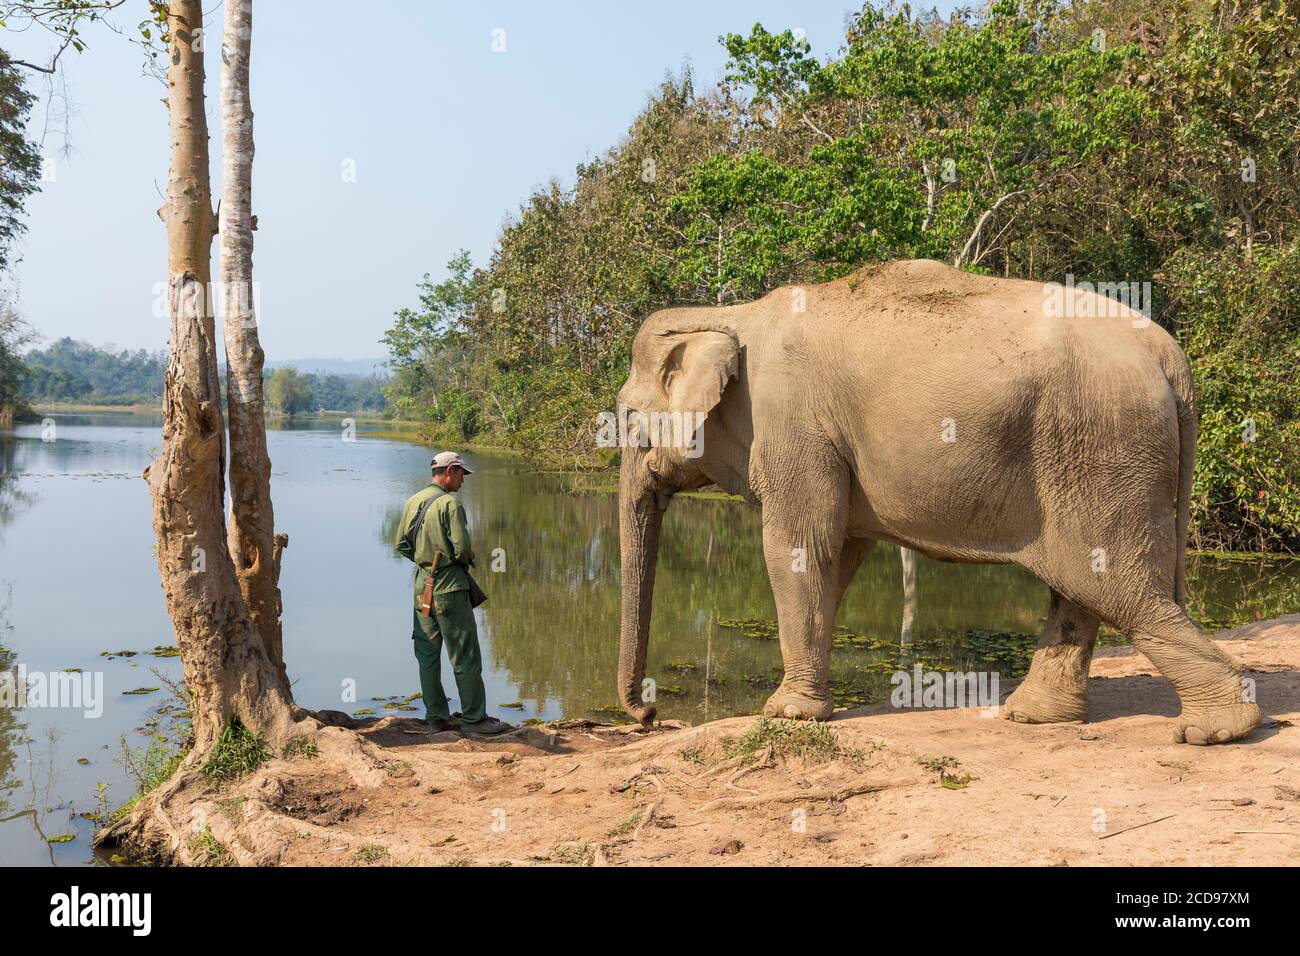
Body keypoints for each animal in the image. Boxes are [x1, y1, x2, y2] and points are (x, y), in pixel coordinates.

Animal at [613, 257, 1263, 743]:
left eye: (625, 419)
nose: (650, 716)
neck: (730, 315)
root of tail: (1171, 359)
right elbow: (838, 554)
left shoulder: (795, 428)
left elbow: (795, 548)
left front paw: (786, 714)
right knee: (1082, 585)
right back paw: (1034, 717)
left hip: (1103, 447)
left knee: (1114, 584)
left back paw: (1216, 729)